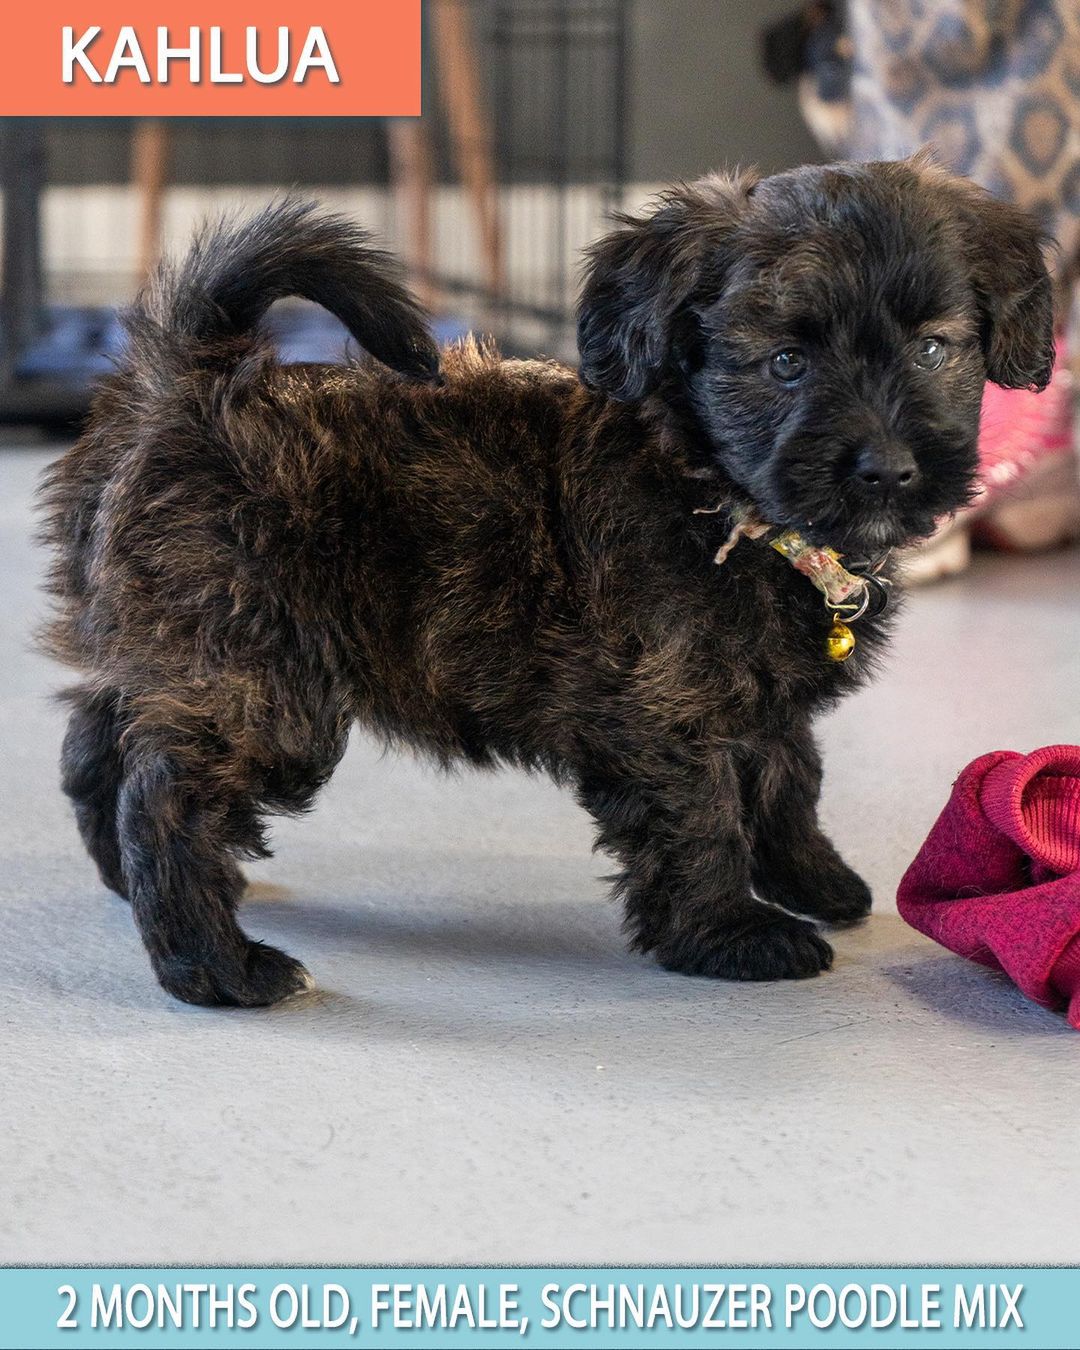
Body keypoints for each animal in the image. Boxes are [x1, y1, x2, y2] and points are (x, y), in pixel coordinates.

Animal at [42, 155, 1053, 1004]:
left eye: (933, 349)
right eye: (786, 362)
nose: (886, 469)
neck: (717, 495)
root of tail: (192, 381)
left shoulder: (753, 695)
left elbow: (786, 777)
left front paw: (812, 879)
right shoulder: (667, 709)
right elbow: (705, 816)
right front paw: (732, 933)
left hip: (170, 648)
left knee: (101, 739)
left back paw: (127, 885)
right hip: (267, 685)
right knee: (165, 793)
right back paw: (216, 966)